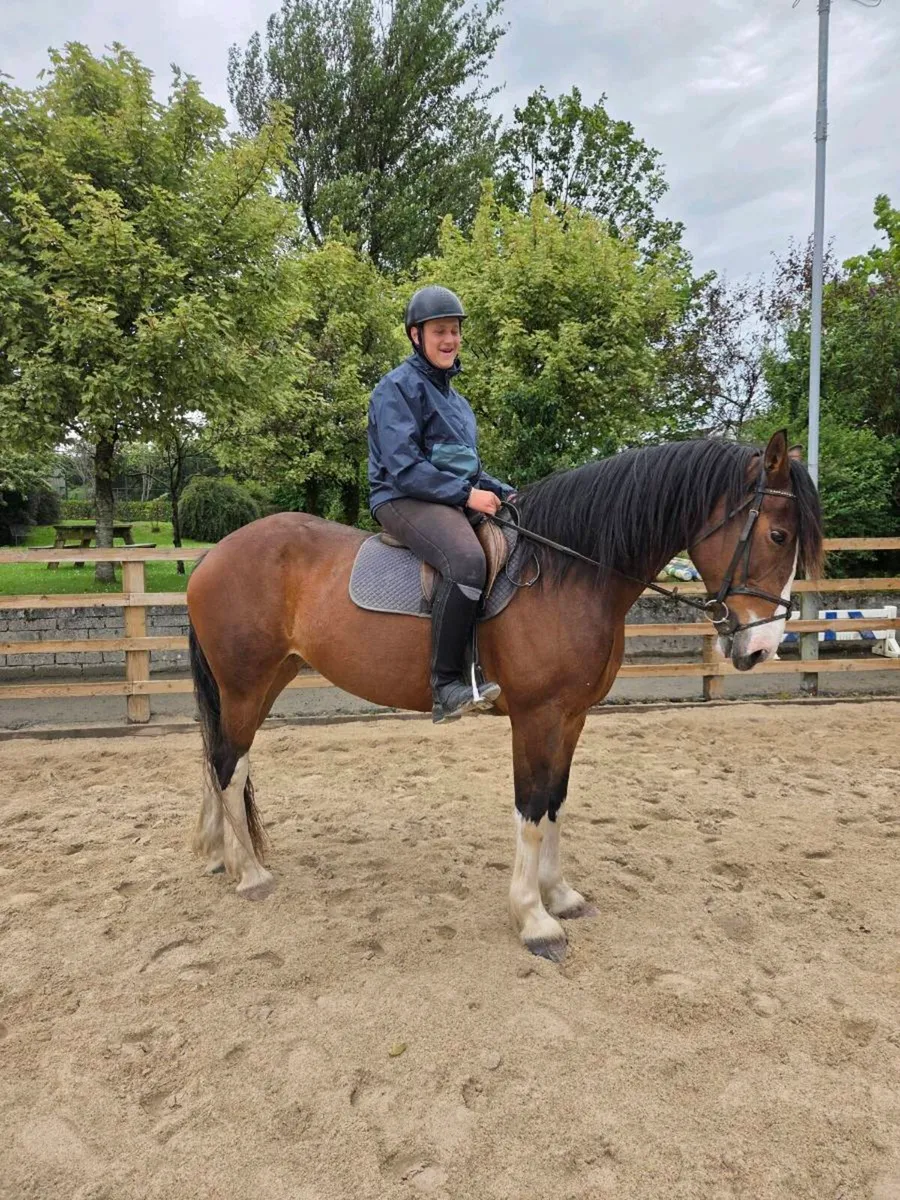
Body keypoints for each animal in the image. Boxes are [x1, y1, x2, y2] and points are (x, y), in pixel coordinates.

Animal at [185, 430, 822, 962]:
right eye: (778, 534)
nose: (764, 647)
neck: (568, 573)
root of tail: (214, 554)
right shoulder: (536, 718)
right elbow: (532, 810)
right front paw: (535, 920)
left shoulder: (571, 717)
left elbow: (557, 800)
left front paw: (560, 894)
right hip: (245, 684)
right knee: (229, 766)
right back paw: (250, 873)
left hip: (267, 680)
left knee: (222, 761)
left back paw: (218, 855)